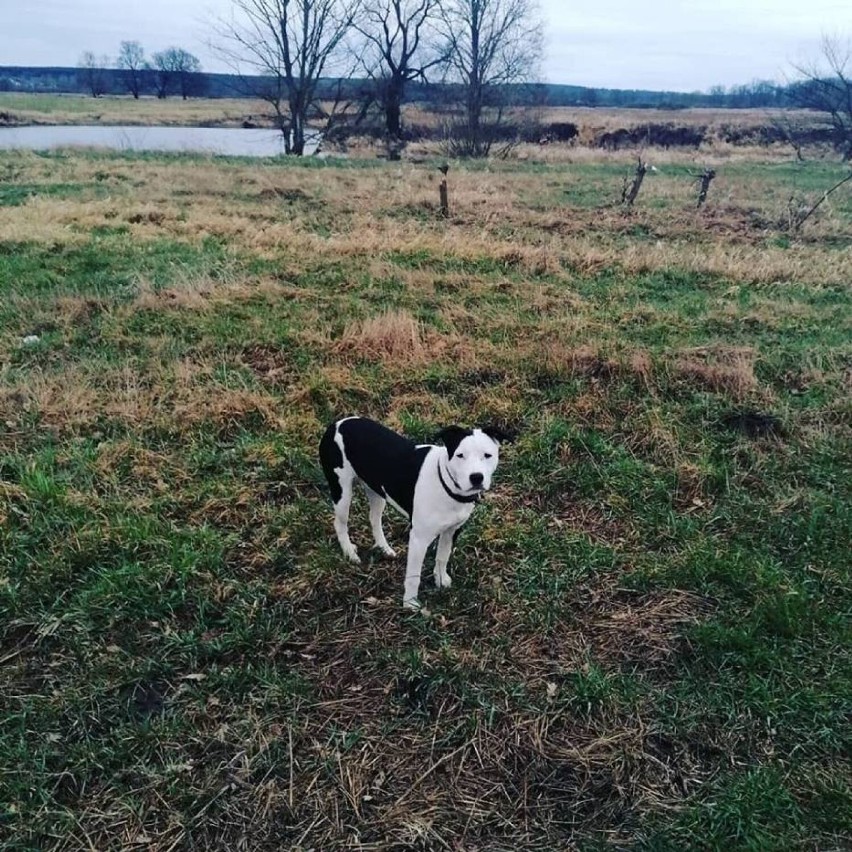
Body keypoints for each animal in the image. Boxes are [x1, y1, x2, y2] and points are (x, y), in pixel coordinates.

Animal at [318, 418, 506, 604]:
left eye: (487, 455)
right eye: (460, 455)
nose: (476, 477)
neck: (446, 483)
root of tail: (336, 424)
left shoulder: (452, 531)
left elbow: (442, 556)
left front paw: (440, 580)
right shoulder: (418, 539)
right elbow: (414, 576)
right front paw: (410, 604)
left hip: (376, 490)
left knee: (374, 518)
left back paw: (384, 548)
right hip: (341, 490)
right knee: (340, 523)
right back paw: (350, 553)